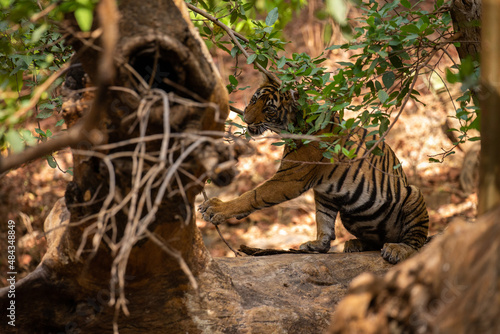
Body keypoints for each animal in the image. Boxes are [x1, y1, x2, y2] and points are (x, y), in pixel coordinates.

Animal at [199, 77, 430, 262]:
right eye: (254, 100)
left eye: (269, 109)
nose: (246, 120)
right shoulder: (325, 192)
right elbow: (323, 219)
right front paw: (319, 244)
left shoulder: (290, 178)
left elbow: (254, 195)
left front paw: (217, 209)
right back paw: (355, 244)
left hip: (414, 194)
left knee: (417, 241)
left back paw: (398, 250)